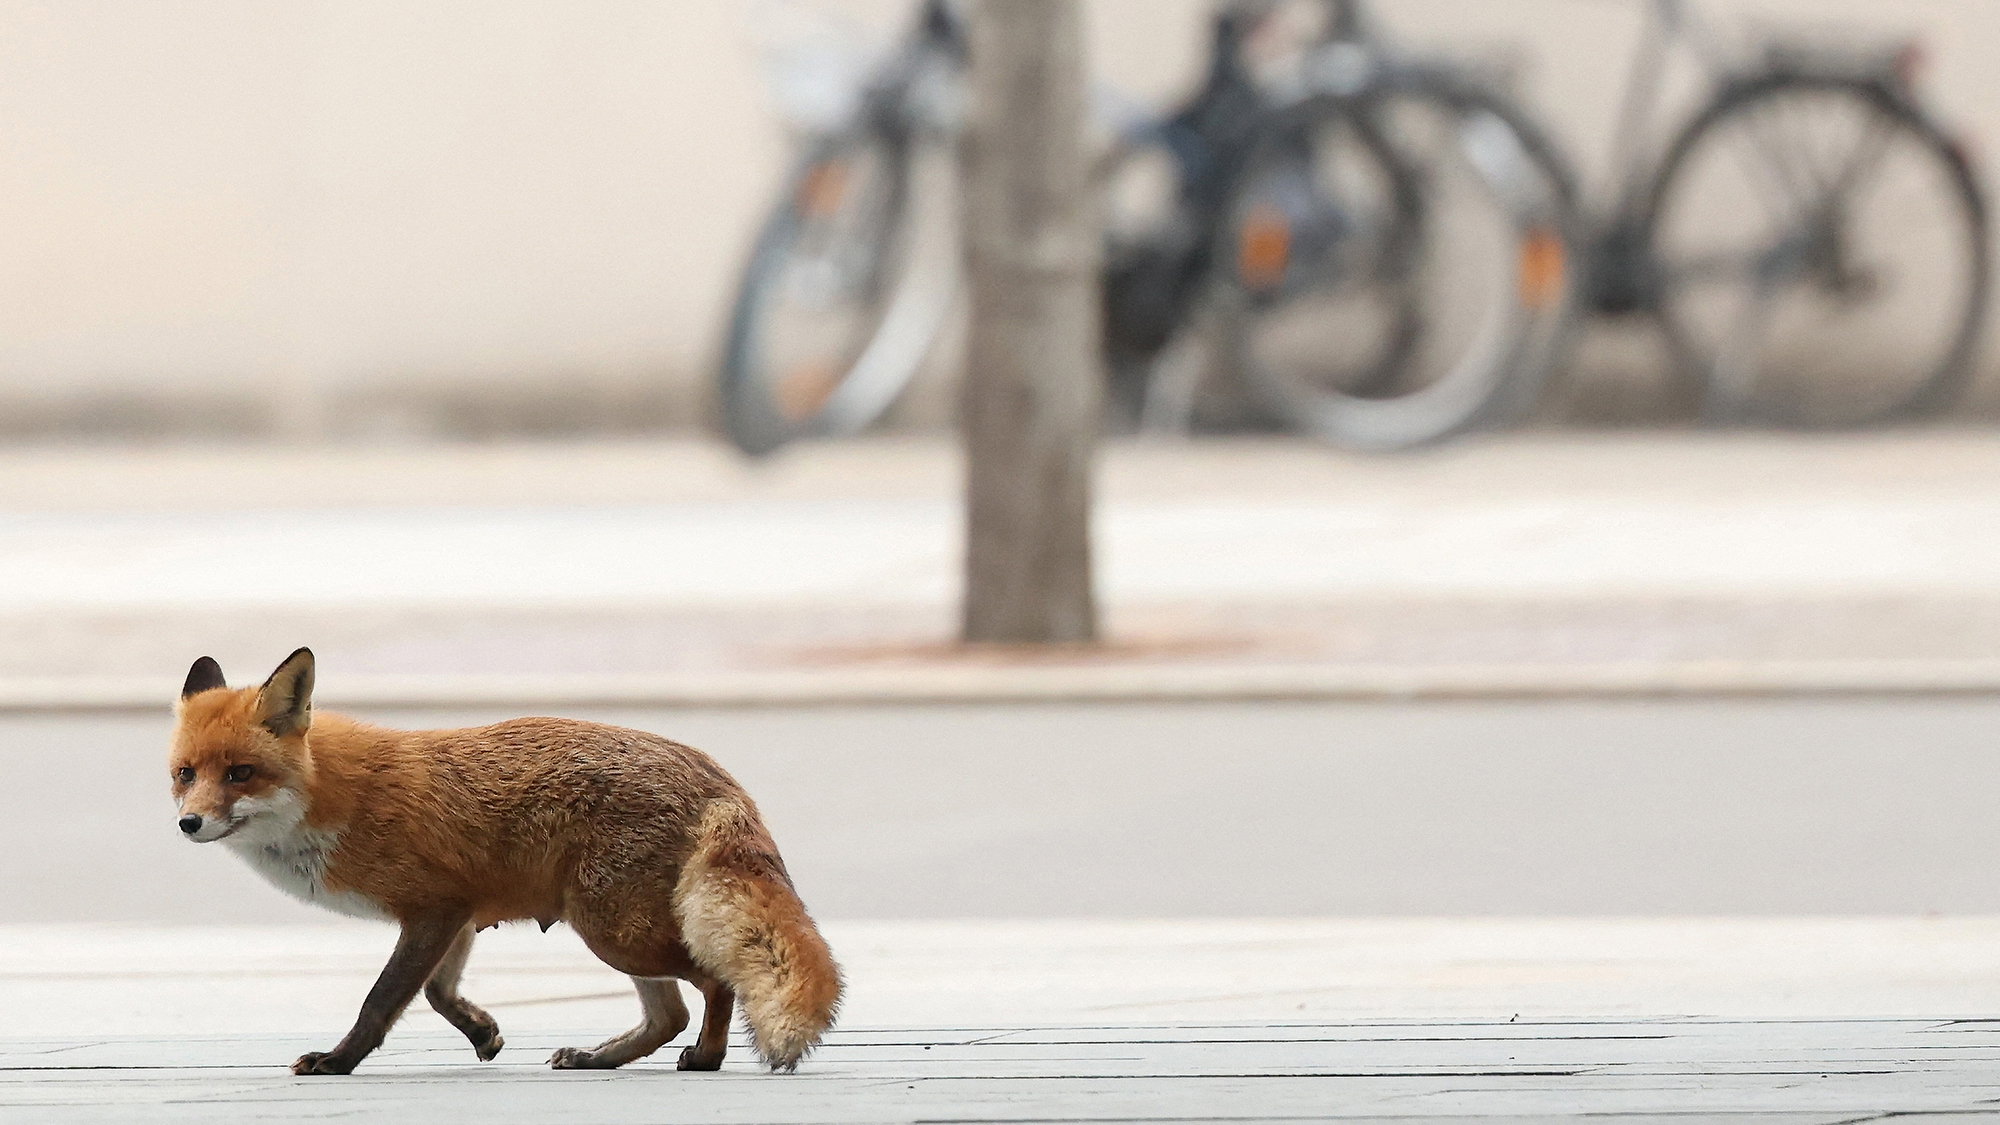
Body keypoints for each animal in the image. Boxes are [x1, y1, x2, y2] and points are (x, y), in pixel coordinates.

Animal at [167, 647, 841, 1076]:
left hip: (615, 932)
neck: (335, 796)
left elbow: (381, 1001)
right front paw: (482, 1031)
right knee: (669, 1014)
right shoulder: (458, 913)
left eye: (239, 773)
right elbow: (439, 994)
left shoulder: (433, 909)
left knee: (714, 981)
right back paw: (598, 1058)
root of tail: (710, 770)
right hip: (619, 931)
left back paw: (706, 1058)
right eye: (185, 775)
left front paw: (338, 1062)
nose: (188, 823)